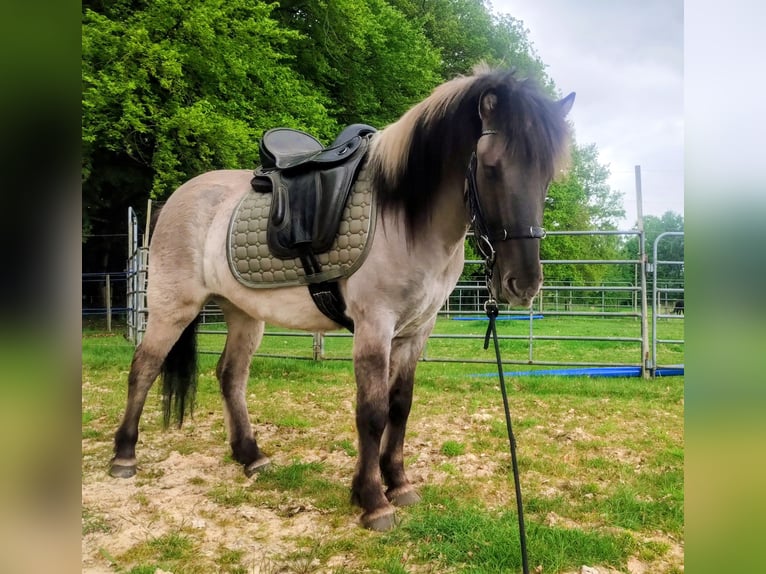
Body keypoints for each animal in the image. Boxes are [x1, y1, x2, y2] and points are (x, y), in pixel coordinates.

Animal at [109, 65, 575, 531]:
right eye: (492, 167)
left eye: (547, 176)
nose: (523, 283)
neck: (405, 218)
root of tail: (176, 198)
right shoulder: (374, 327)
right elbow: (372, 412)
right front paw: (372, 499)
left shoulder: (415, 332)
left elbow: (400, 406)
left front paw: (399, 483)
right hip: (173, 307)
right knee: (144, 367)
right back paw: (124, 455)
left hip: (243, 313)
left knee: (230, 374)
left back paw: (251, 455)